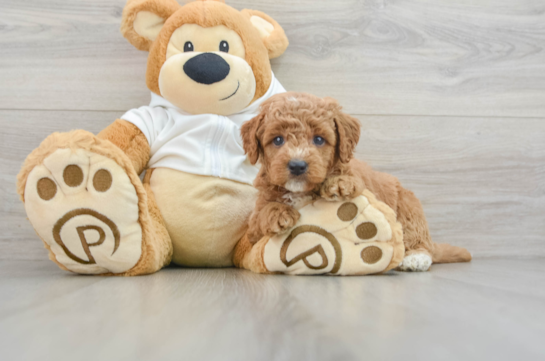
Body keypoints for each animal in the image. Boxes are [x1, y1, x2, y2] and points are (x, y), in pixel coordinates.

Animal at [240, 92, 470, 270]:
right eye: (278, 140)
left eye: (319, 139)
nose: (297, 165)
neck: (300, 192)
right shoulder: (253, 227)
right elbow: (260, 215)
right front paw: (278, 213)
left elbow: (350, 178)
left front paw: (339, 182)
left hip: (408, 207)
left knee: (417, 237)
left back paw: (416, 258)